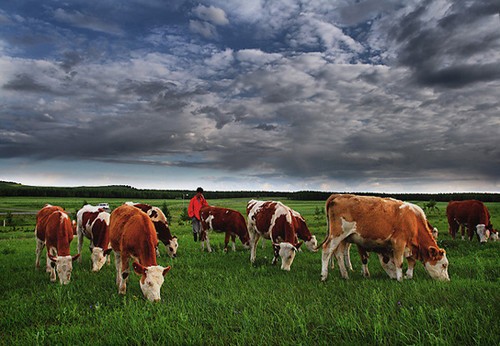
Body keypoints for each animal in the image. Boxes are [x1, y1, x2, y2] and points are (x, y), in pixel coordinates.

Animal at [320, 195, 450, 282]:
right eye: (444, 265)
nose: (447, 280)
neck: (413, 220)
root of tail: (339, 195)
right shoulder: (399, 242)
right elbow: (399, 262)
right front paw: (400, 279)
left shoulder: (410, 246)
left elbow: (411, 262)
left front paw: (408, 276)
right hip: (337, 234)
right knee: (327, 250)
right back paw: (324, 276)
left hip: (344, 238)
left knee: (339, 254)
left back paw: (345, 275)